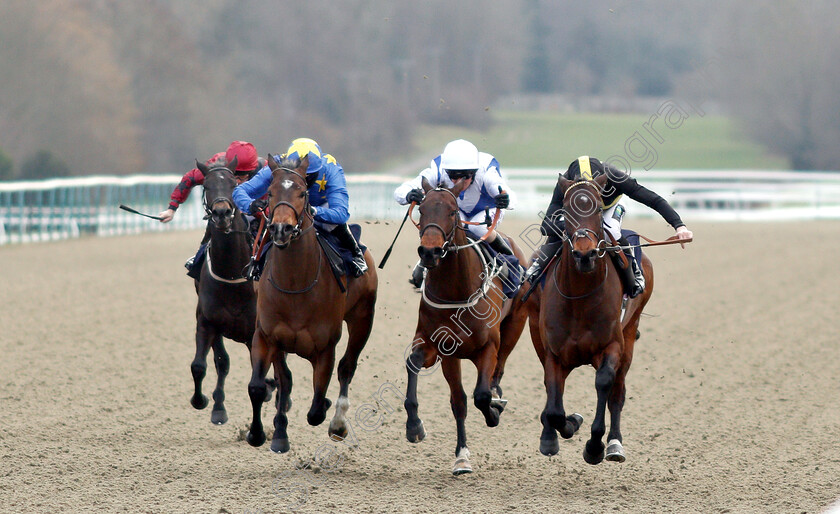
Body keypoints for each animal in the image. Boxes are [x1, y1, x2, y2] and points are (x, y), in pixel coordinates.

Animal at [246, 154, 378, 450]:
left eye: (302, 192)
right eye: (269, 193)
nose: (281, 228)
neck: (296, 284)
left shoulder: (325, 346)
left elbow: (317, 408)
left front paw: (329, 410)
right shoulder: (265, 335)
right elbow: (260, 386)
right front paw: (261, 434)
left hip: (362, 318)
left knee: (347, 367)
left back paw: (338, 422)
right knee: (284, 379)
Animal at [404, 180, 528, 472]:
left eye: (452, 211)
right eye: (422, 208)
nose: (429, 251)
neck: (456, 292)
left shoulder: (488, 347)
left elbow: (481, 395)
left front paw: (494, 411)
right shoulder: (439, 347)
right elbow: (421, 370)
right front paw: (416, 427)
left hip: (516, 324)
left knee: (499, 369)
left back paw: (496, 396)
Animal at [524, 174, 656, 462]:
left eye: (595, 208)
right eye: (566, 210)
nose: (585, 254)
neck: (580, 298)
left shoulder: (613, 345)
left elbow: (605, 382)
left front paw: (595, 446)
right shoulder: (553, 351)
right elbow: (555, 404)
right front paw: (558, 431)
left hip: (630, 333)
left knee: (617, 392)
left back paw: (615, 444)